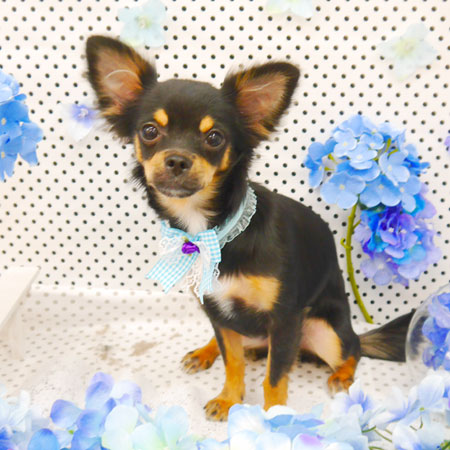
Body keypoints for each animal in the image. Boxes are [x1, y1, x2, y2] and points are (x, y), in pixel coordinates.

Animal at [86, 35, 413, 421]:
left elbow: (275, 377)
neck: (213, 232)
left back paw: (341, 376)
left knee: (352, 351)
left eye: (214, 137)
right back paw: (205, 351)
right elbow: (233, 362)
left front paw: (273, 417)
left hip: (324, 331)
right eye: (149, 131)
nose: (177, 160)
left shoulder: (285, 319)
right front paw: (229, 398)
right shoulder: (217, 311)